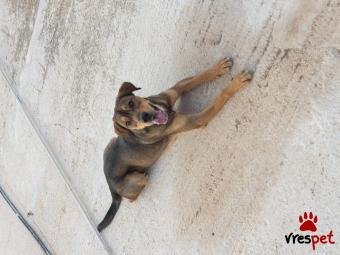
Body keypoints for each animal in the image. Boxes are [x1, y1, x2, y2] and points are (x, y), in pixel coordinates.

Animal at [97, 57, 251, 231]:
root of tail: (111, 189)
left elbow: (199, 76)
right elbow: (221, 95)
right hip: (136, 179)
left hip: (110, 143)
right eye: (128, 123)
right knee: (134, 194)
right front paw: (236, 83)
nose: (146, 117)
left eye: (131, 102)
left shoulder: (176, 89)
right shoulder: (196, 119)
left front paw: (218, 68)